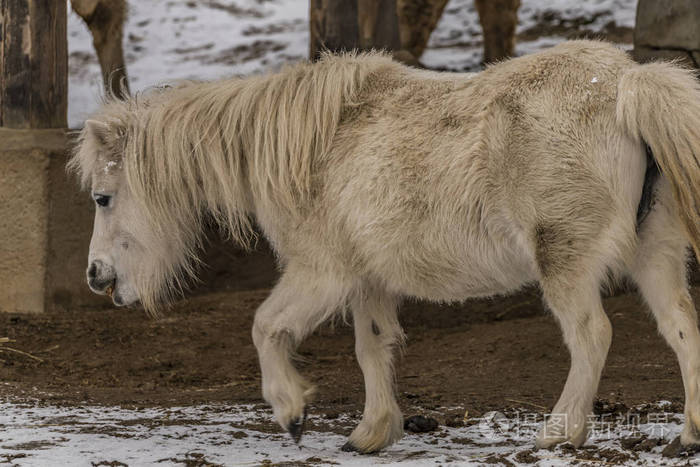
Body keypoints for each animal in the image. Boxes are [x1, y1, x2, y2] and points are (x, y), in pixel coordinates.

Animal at [69, 42, 700, 456]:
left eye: (103, 197)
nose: (97, 276)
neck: (309, 147)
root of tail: (625, 86)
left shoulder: (321, 273)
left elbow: (265, 327)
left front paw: (292, 412)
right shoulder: (367, 280)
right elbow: (373, 349)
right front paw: (372, 432)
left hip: (565, 259)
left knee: (592, 336)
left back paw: (559, 432)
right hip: (654, 253)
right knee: (681, 326)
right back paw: (689, 432)